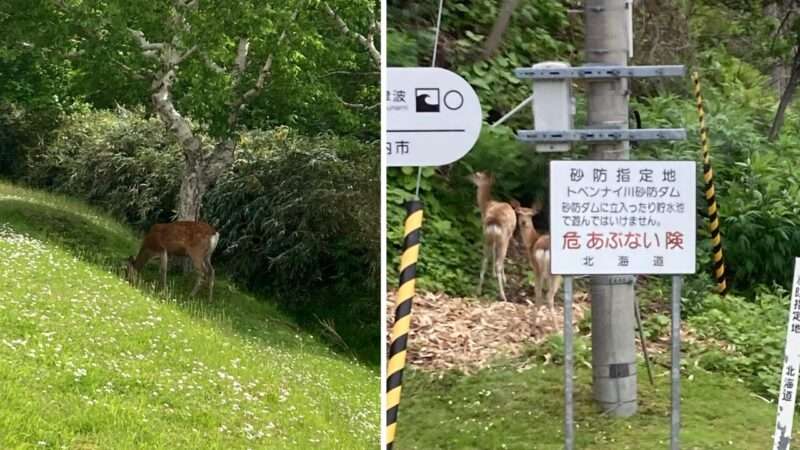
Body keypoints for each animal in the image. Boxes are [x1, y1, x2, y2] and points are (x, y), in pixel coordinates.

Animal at [469, 172, 517, 301]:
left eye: (477, 175)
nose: (468, 176)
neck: (486, 205)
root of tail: (494, 222)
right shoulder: (508, 236)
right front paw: (499, 276)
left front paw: (493, 274)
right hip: (503, 239)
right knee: (498, 262)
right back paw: (503, 295)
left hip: (487, 237)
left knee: (484, 259)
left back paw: (478, 290)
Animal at [514, 201, 562, 332]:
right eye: (519, 212)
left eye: (530, 214)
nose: (523, 222)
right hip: (552, 273)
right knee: (548, 295)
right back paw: (556, 329)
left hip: (540, 270)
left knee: (540, 294)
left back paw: (535, 328)